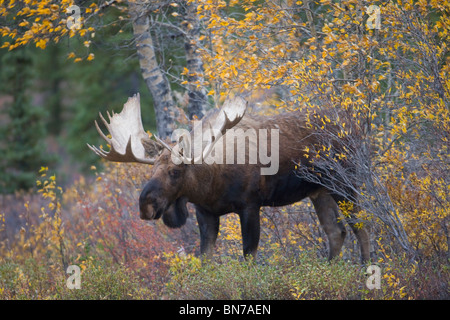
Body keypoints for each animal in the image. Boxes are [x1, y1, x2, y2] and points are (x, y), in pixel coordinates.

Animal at [88, 93, 370, 262]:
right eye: (151, 169)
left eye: (175, 172)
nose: (145, 205)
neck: (211, 185)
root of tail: (354, 126)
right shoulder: (206, 213)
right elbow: (207, 260)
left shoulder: (250, 206)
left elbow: (248, 257)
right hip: (318, 191)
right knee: (336, 232)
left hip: (344, 183)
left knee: (361, 225)